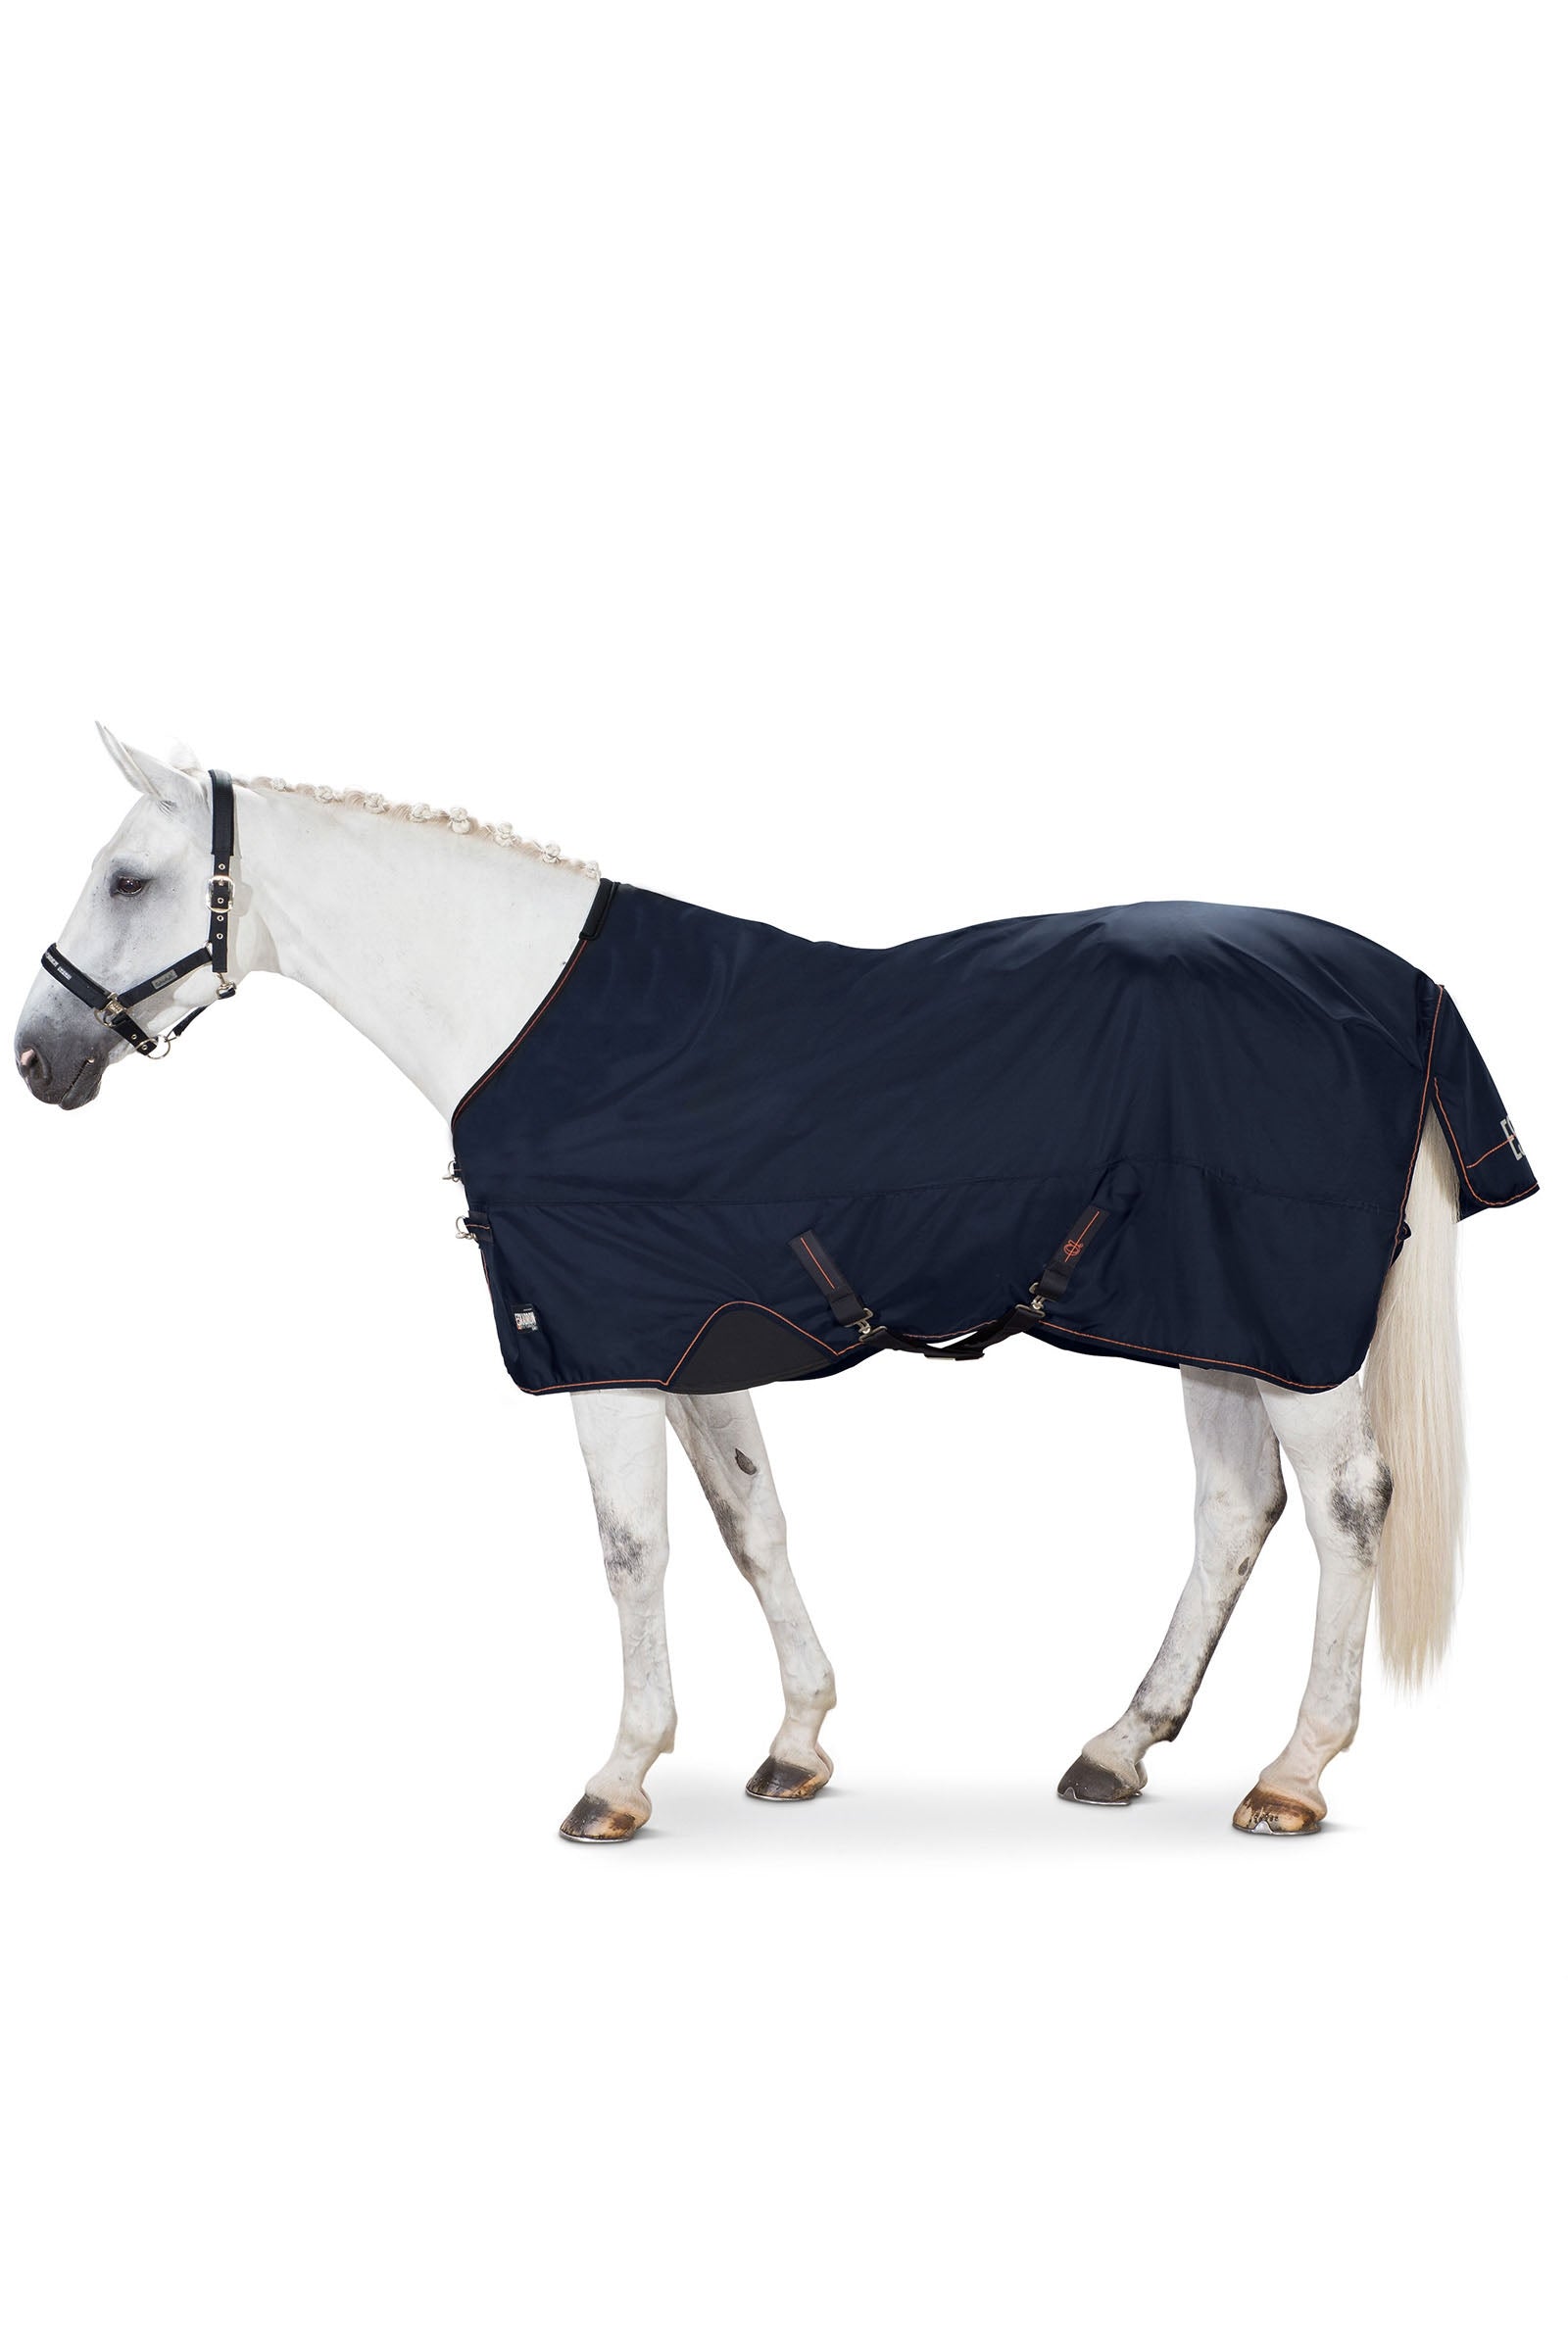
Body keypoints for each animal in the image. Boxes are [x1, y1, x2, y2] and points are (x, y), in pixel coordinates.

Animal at [14, 727, 1537, 1841]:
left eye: (130, 880)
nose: (39, 1057)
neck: (536, 1015)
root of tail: (1401, 989)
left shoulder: (611, 1348)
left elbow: (634, 1551)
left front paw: (619, 1776)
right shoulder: (699, 1341)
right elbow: (753, 1527)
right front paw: (797, 1742)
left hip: (1289, 1328)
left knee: (1347, 1510)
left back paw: (1293, 1775)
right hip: (1214, 1320)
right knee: (1233, 1512)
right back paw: (1118, 1748)